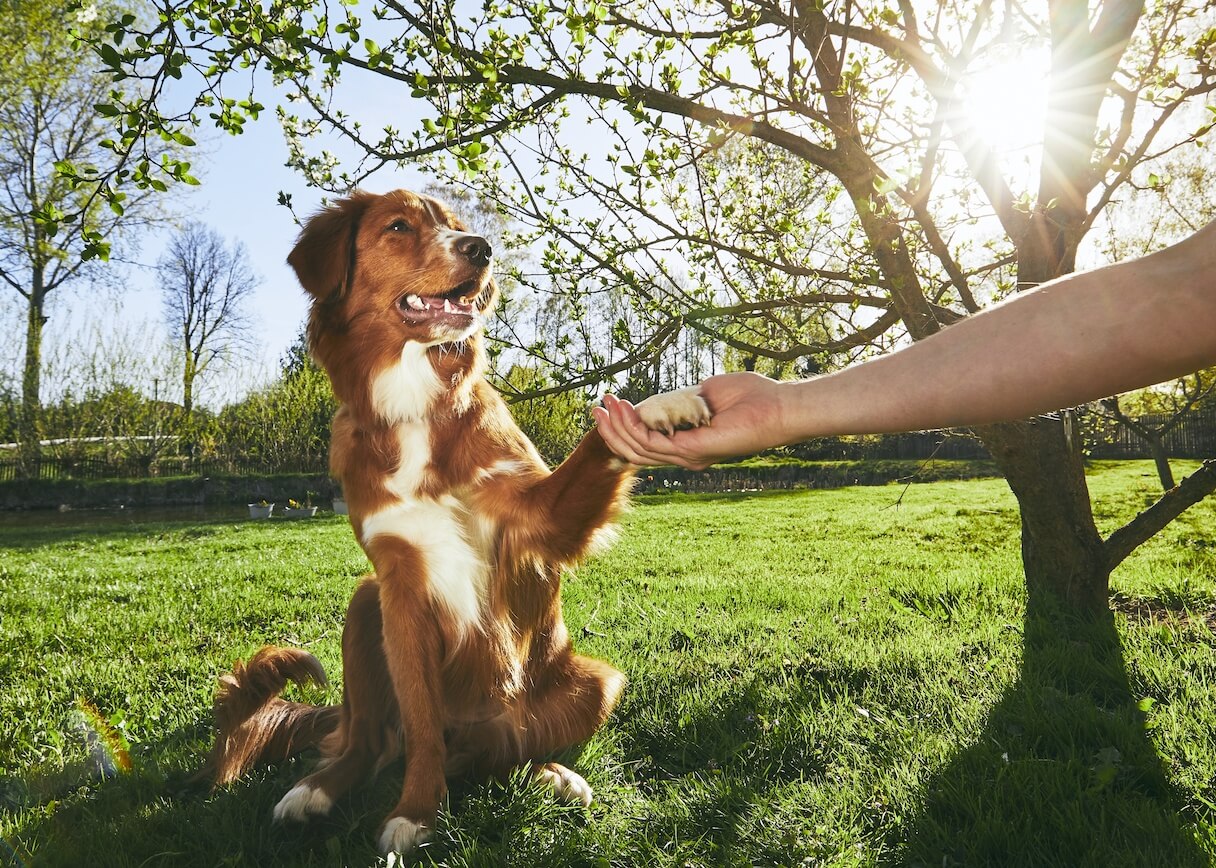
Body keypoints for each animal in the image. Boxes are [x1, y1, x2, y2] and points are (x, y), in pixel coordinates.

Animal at [201, 189, 710, 850]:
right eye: (398, 226)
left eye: (456, 226)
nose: (483, 249)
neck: (415, 401)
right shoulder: (400, 583)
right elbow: (420, 724)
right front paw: (417, 811)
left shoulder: (538, 518)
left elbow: (600, 436)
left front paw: (660, 407)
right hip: (365, 604)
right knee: (369, 742)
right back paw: (316, 790)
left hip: (594, 685)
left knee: (503, 752)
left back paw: (552, 775)